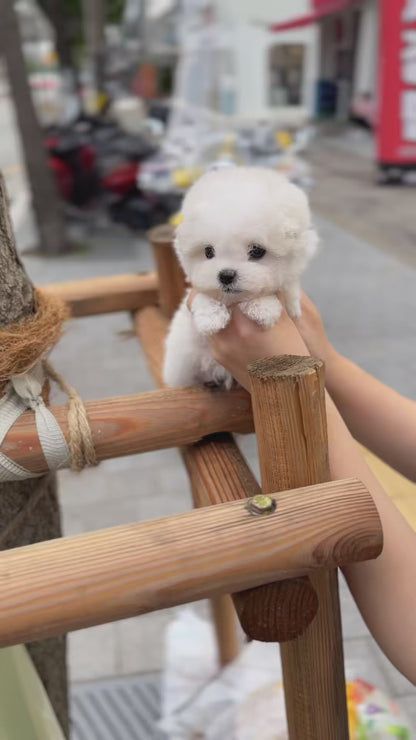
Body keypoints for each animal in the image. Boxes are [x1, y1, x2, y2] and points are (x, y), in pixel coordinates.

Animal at [163, 165, 318, 390]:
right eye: (208, 252)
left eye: (257, 251)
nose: (226, 275)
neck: (234, 301)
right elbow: (203, 297)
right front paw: (210, 318)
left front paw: (263, 308)